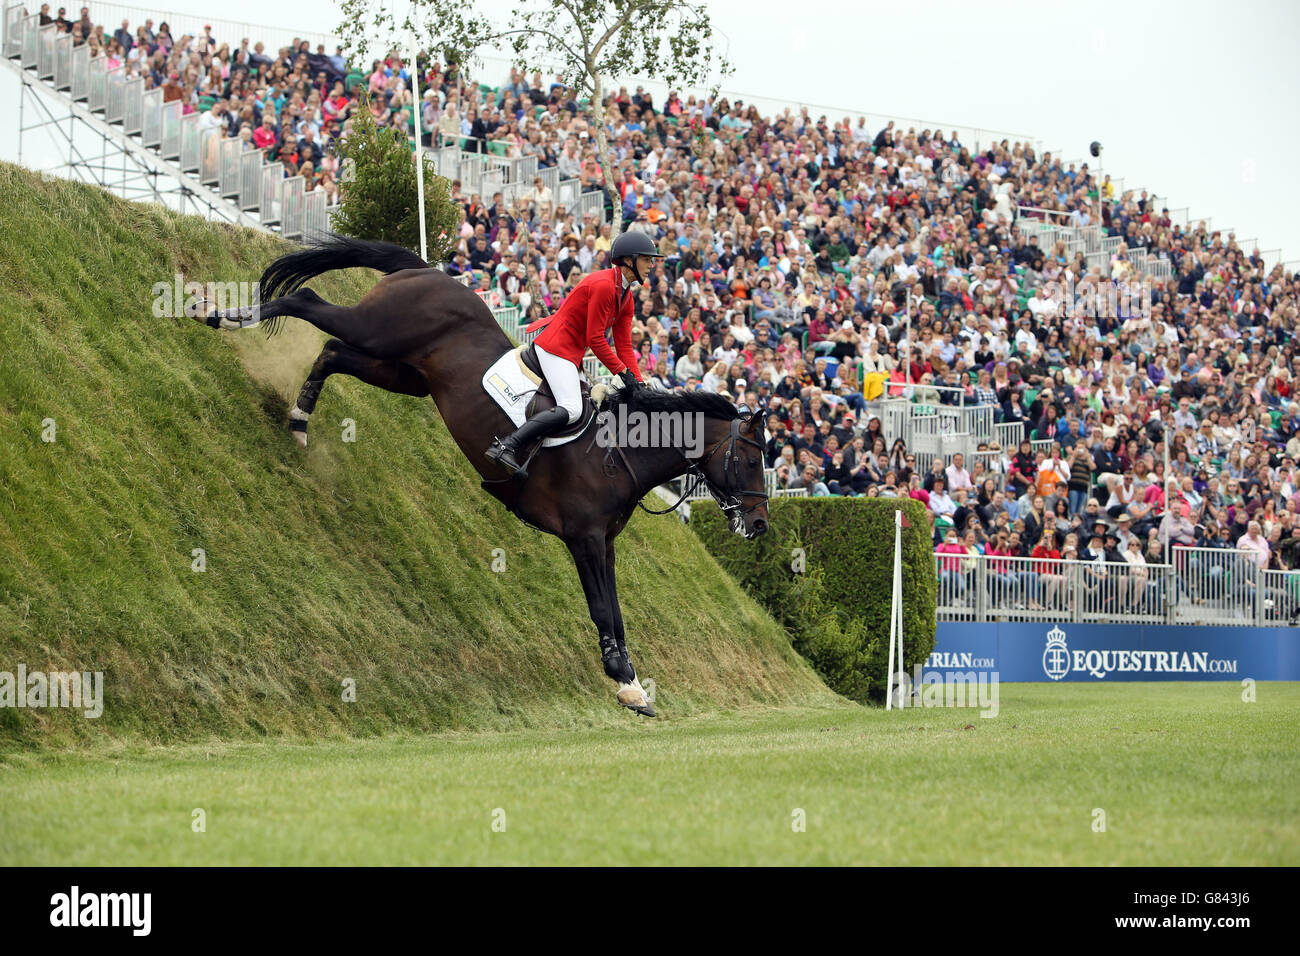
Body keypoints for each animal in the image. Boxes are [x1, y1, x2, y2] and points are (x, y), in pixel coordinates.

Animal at [201, 235, 764, 717]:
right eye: (750, 458)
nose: (758, 526)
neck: (618, 450)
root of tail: (427, 270)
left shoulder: (604, 543)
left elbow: (617, 612)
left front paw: (632, 686)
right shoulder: (583, 538)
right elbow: (603, 610)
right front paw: (624, 682)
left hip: (402, 372)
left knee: (334, 353)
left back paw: (299, 418)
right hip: (378, 330)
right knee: (308, 300)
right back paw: (223, 317)